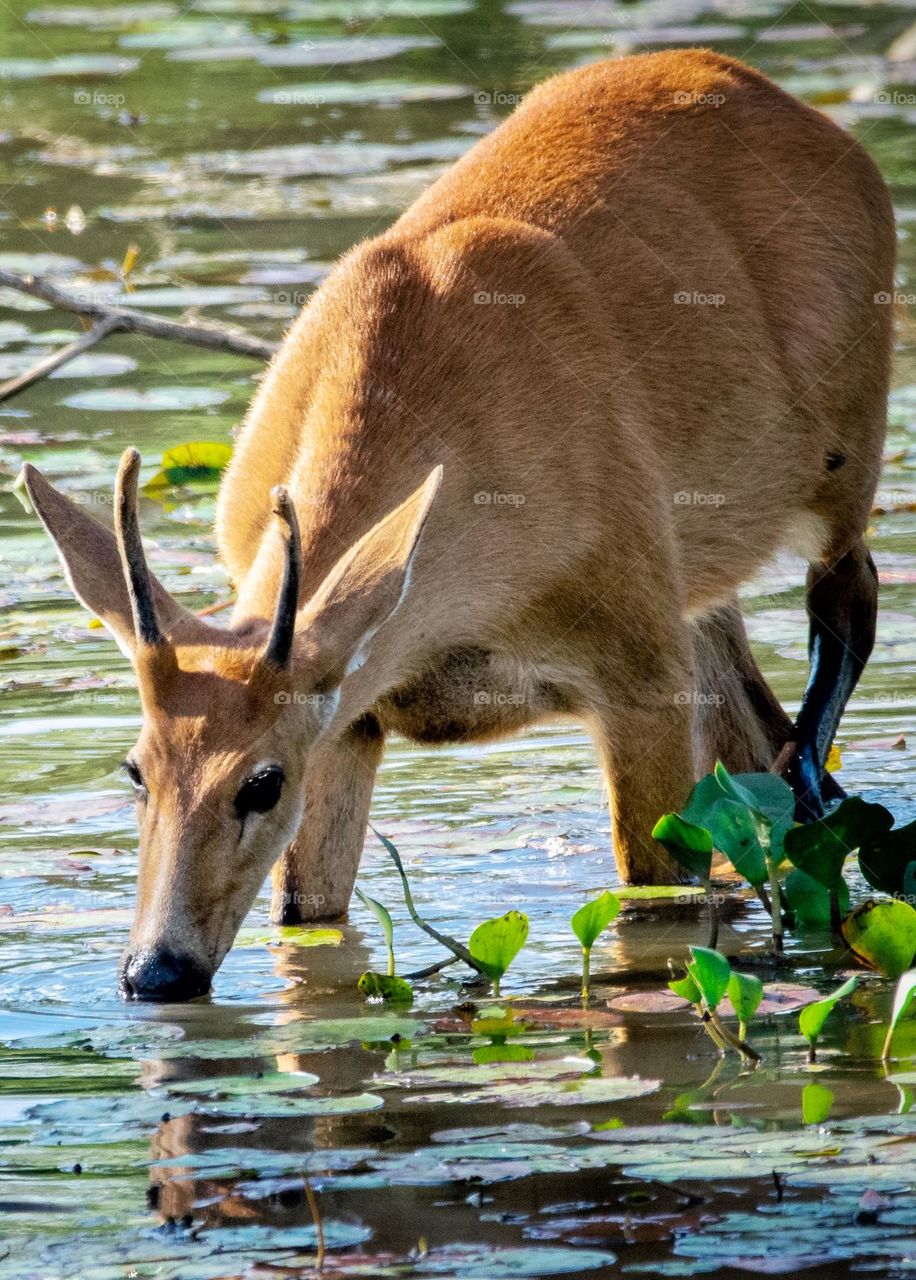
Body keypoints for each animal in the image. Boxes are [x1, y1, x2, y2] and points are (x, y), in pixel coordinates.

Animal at [24, 48, 894, 1000]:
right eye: (134, 769)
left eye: (262, 783)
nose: (157, 969)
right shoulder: (351, 717)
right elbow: (308, 920)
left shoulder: (639, 674)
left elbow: (655, 913)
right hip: (701, 591)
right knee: (753, 737)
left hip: (846, 457)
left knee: (848, 609)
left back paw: (819, 805)